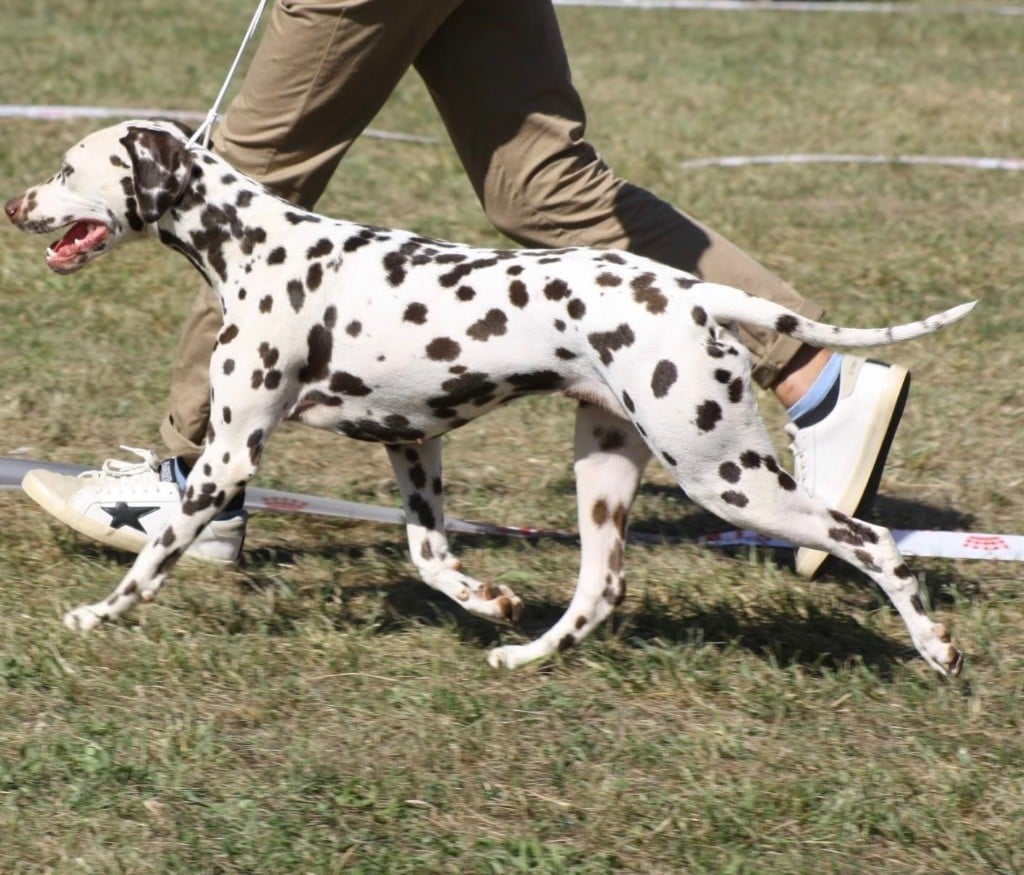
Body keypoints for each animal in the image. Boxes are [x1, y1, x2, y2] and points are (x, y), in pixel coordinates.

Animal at [6, 119, 974, 676]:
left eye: (67, 166)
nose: (15, 204)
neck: (257, 246)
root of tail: (696, 293)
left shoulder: (230, 454)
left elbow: (154, 553)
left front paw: (97, 614)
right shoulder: (411, 443)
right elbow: (430, 558)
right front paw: (488, 601)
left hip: (725, 475)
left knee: (875, 541)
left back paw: (935, 648)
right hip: (605, 472)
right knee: (600, 590)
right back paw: (526, 654)